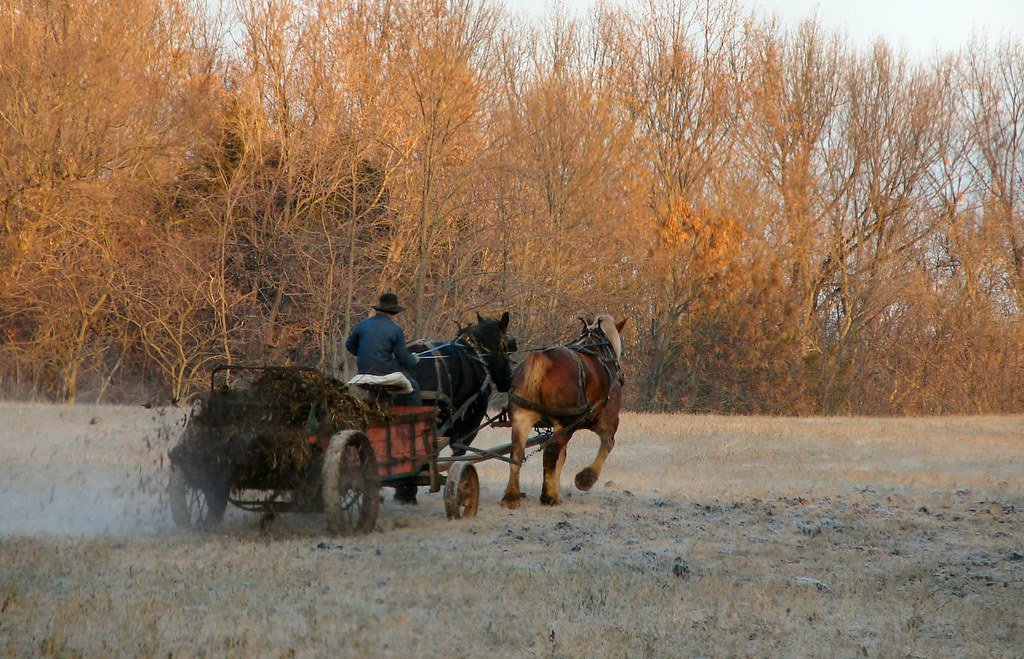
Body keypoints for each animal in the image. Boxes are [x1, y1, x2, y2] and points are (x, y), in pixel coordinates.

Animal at [501, 311, 622, 507]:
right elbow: (607, 444)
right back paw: (548, 497)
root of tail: (542, 360)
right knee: (549, 453)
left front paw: (557, 489)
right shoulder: (608, 421)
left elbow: (562, 457)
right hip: (564, 423)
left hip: (522, 418)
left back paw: (511, 496)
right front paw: (585, 479)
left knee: (517, 454)